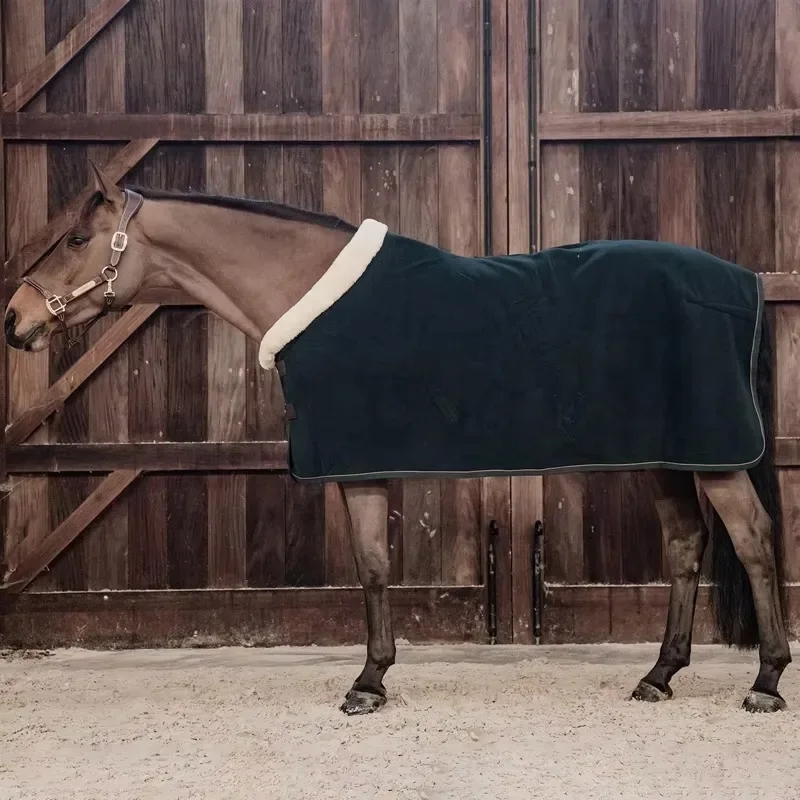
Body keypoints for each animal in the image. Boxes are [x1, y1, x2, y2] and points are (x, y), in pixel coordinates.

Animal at [4, 162, 791, 715]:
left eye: (77, 240)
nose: (15, 319)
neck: (310, 291)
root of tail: (743, 280)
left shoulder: (357, 465)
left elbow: (373, 568)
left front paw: (368, 683)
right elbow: (375, 566)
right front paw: (376, 676)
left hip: (714, 459)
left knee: (754, 541)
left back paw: (766, 680)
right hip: (669, 455)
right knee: (687, 543)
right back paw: (659, 676)